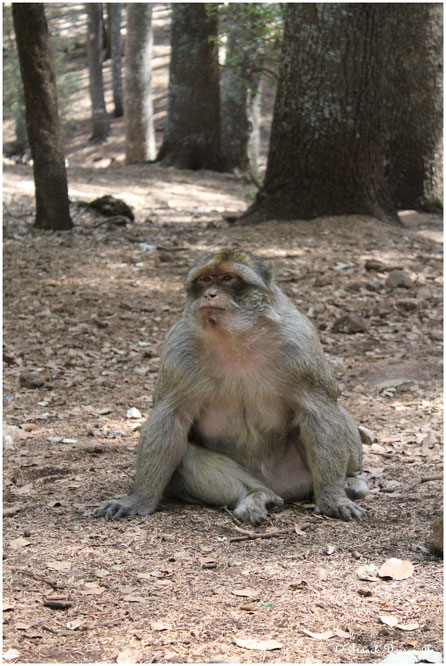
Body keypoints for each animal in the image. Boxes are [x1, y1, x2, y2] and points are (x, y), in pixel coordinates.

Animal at [96, 249, 368, 524]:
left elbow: (319, 411)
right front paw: (139, 498)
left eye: (227, 278)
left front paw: (333, 498)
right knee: (186, 455)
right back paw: (257, 496)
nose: (210, 294)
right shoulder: (178, 349)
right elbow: (170, 418)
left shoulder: (299, 342)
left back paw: (351, 480)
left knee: (335, 412)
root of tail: (280, 487)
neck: (235, 337)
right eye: (205, 279)